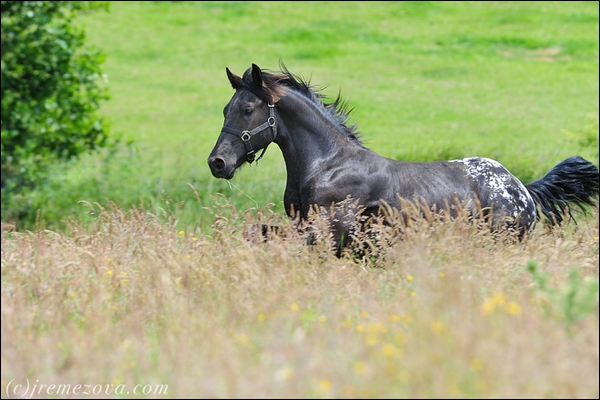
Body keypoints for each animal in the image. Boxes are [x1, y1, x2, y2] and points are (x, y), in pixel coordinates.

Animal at [207, 64, 600, 255]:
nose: (217, 163)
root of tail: (523, 191)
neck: (327, 166)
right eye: (225, 109)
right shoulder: (301, 226)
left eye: (247, 110)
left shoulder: (326, 232)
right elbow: (254, 233)